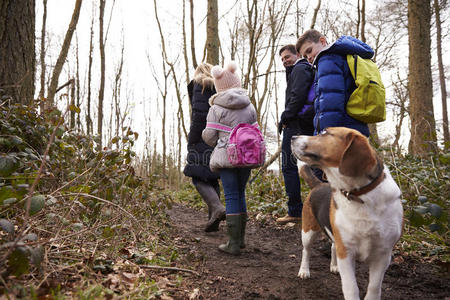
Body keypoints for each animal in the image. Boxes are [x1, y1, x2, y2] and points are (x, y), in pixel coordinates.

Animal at [292, 127, 404, 300]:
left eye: (324, 133)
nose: (292, 137)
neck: (359, 197)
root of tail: (319, 184)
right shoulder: (346, 251)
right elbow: (351, 288)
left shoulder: (383, 255)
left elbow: (374, 287)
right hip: (308, 232)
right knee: (306, 251)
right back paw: (304, 270)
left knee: (332, 247)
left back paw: (333, 266)